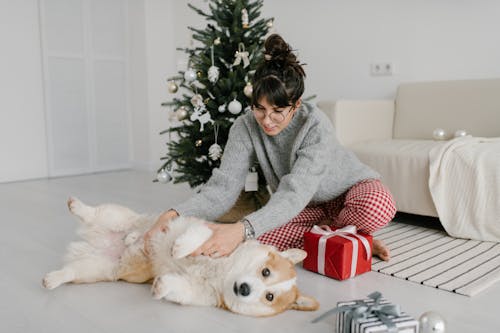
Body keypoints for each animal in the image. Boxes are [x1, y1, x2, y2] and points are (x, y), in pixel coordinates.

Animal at [42, 197, 316, 316]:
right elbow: (196, 236)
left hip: (98, 268)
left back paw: (52, 279)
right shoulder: (210, 232)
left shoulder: (196, 293)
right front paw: (179, 248)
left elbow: (177, 288)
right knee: (95, 212)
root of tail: (97, 242)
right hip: (116, 217)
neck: (224, 273)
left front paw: (160, 286)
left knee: (72, 271)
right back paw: (77, 206)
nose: (245, 289)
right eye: (266, 271)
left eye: (269, 296)